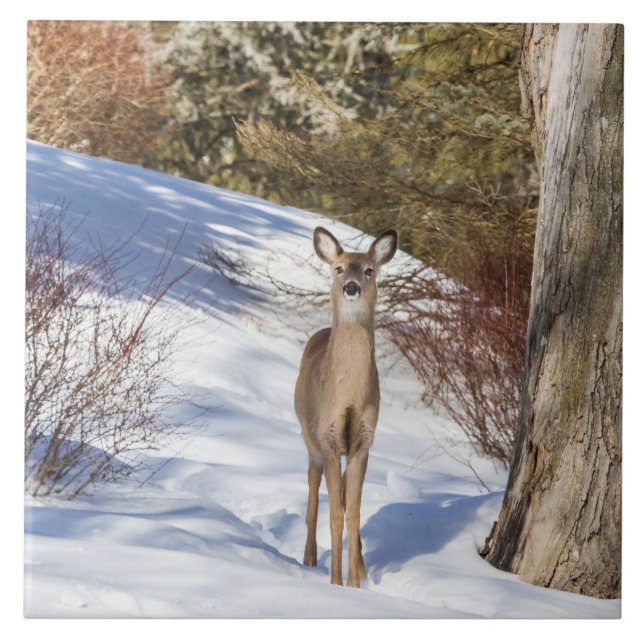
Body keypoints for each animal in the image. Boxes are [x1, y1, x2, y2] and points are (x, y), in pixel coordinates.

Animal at [294, 226, 398, 588]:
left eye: (368, 270)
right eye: (339, 268)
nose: (350, 286)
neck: (350, 396)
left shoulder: (363, 440)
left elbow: (352, 512)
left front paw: (355, 583)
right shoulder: (327, 435)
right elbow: (335, 515)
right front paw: (336, 583)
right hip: (310, 438)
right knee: (313, 498)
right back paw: (309, 558)